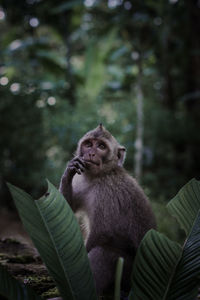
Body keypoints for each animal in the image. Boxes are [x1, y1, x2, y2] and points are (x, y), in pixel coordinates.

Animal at [59, 123, 156, 296]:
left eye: (101, 146)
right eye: (88, 144)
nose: (91, 153)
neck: (99, 176)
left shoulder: (107, 191)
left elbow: (103, 232)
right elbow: (67, 207)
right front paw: (68, 170)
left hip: (131, 276)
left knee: (103, 253)